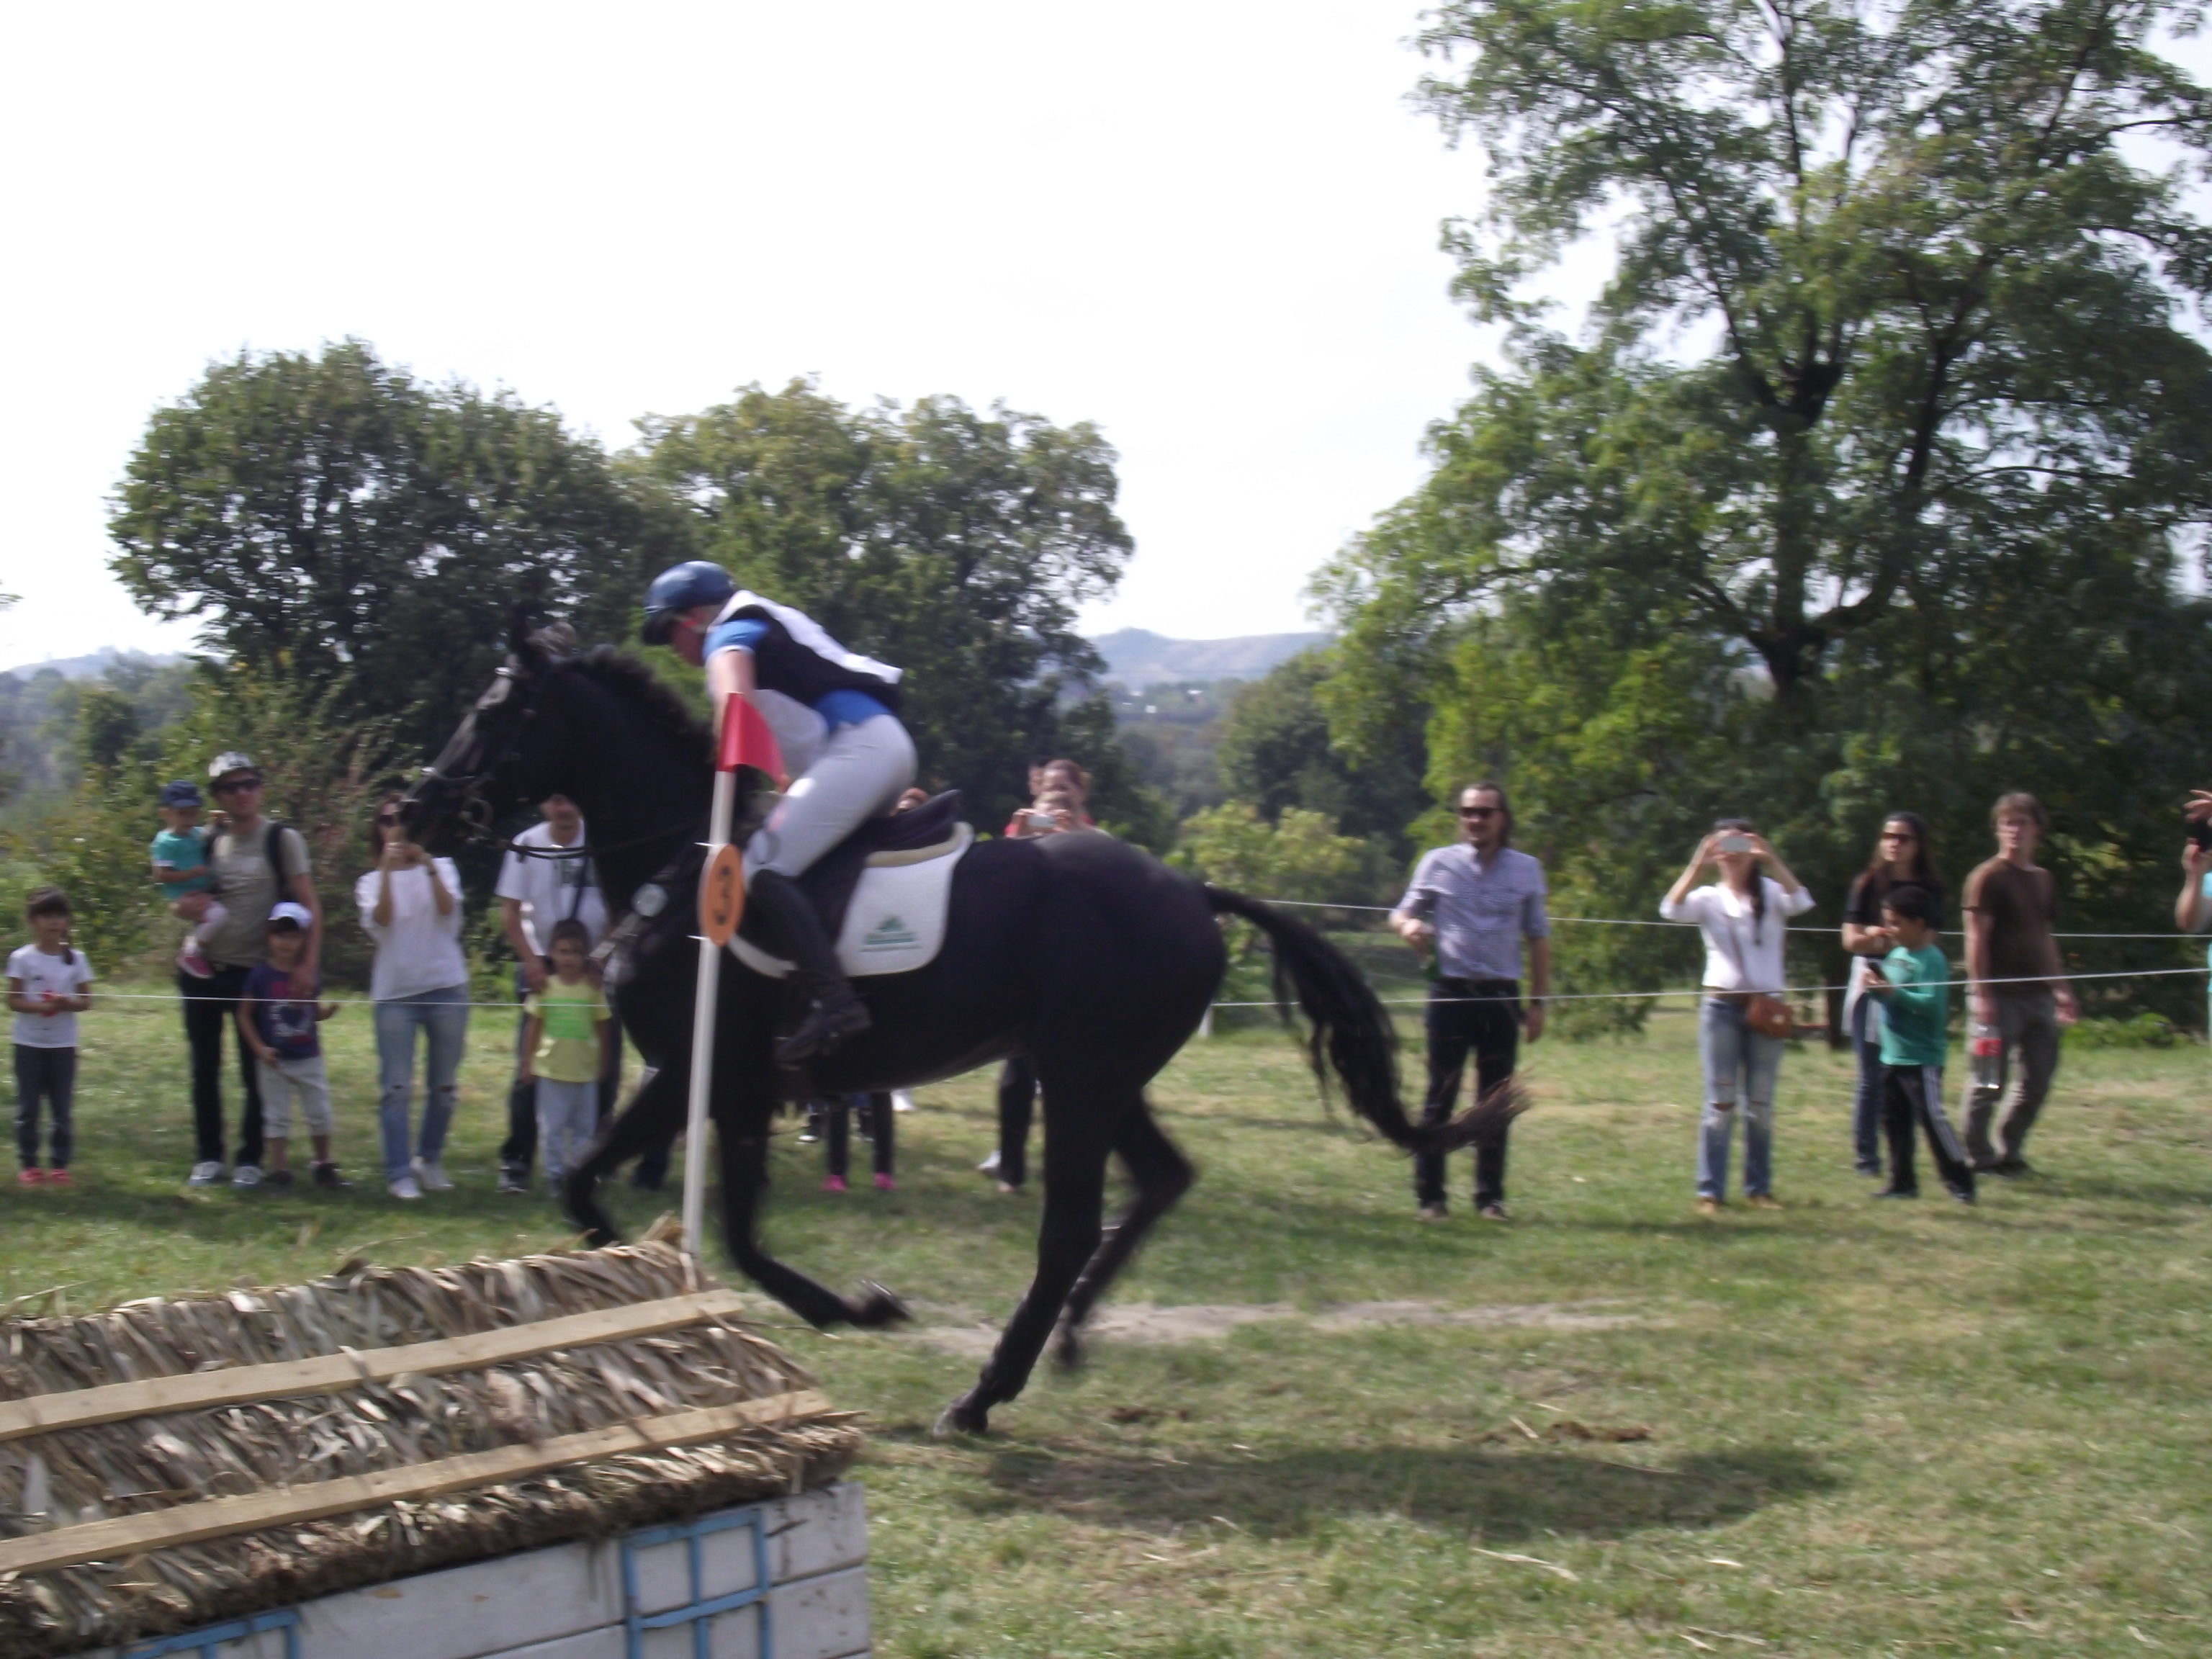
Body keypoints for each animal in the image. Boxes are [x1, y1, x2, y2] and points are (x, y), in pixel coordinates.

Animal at [407, 628, 1513, 1433]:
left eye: (493, 711)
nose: (415, 808)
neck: (680, 863)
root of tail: (1191, 891)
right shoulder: (715, 1084)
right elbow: (624, 1199)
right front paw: (677, 1302)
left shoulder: (703, 1074)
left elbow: (671, 1212)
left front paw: (858, 1309)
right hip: (1102, 1074)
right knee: (1160, 1181)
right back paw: (1066, 1340)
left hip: (1078, 1075)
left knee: (1070, 1225)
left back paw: (984, 1394)